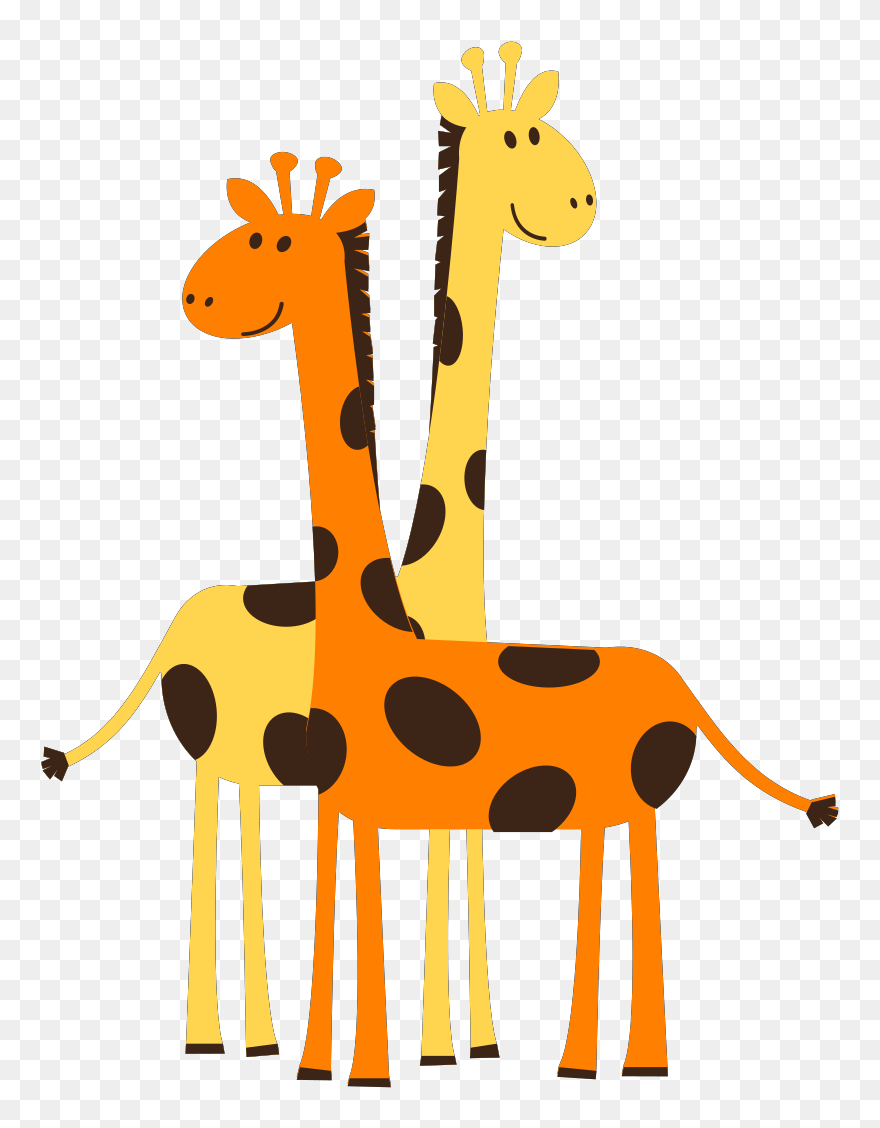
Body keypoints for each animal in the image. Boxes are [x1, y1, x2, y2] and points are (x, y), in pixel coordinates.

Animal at [179, 156, 837, 1086]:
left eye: (268, 241)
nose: (195, 298)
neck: (381, 626)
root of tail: (685, 691)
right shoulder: (349, 803)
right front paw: (331, 1063)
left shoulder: (380, 807)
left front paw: (386, 1065)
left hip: (622, 797)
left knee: (635, 873)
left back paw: (624, 1062)